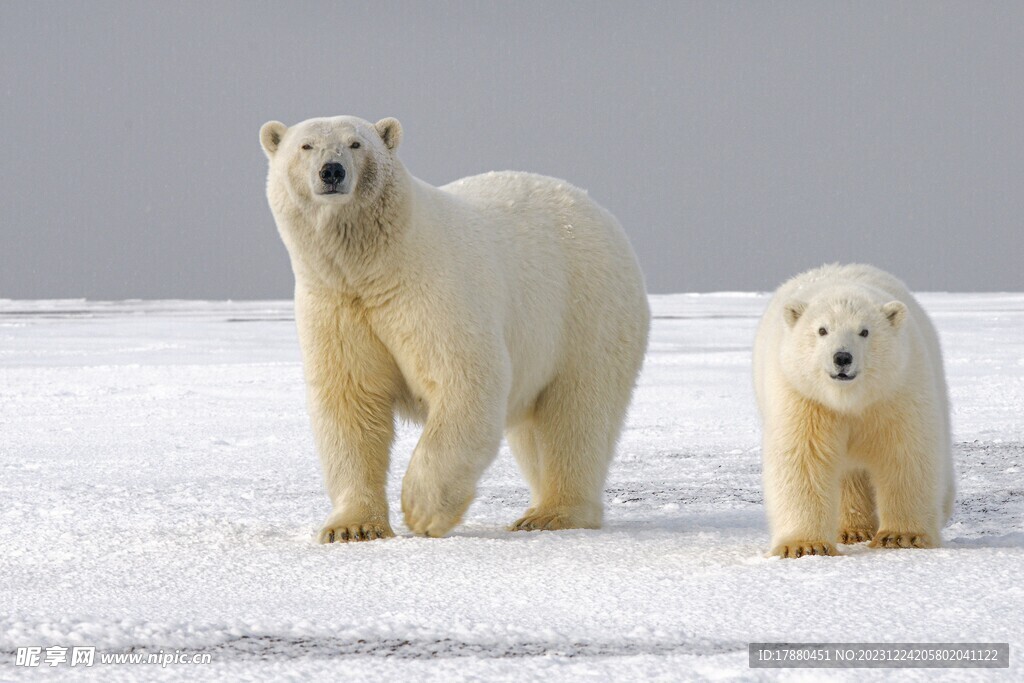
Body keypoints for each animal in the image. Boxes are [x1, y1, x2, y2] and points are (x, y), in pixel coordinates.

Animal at [262, 114, 647, 540]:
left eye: (356, 143)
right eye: (306, 146)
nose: (332, 171)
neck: (374, 266)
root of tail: (600, 212)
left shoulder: (431, 289)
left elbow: (465, 378)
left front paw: (421, 510)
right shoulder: (336, 305)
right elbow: (351, 402)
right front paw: (352, 527)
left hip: (586, 310)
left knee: (576, 413)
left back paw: (552, 513)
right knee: (535, 430)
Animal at [753, 264, 950, 557]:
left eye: (864, 331)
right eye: (822, 330)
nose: (842, 357)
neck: (849, 399)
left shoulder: (896, 391)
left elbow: (905, 453)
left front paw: (901, 536)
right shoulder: (804, 398)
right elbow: (803, 459)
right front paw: (805, 545)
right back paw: (852, 530)